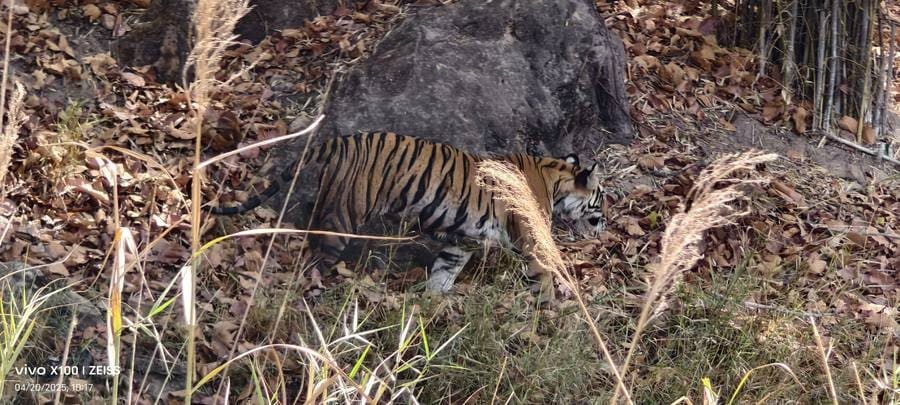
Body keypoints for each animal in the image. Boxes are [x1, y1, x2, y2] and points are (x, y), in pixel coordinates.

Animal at [209, 132, 606, 295]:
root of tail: (337, 140)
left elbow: (444, 271)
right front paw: (554, 314)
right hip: (343, 218)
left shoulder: (460, 241)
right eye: (600, 200)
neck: (554, 177)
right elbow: (545, 278)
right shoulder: (533, 242)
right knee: (313, 261)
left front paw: (431, 304)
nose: (604, 226)